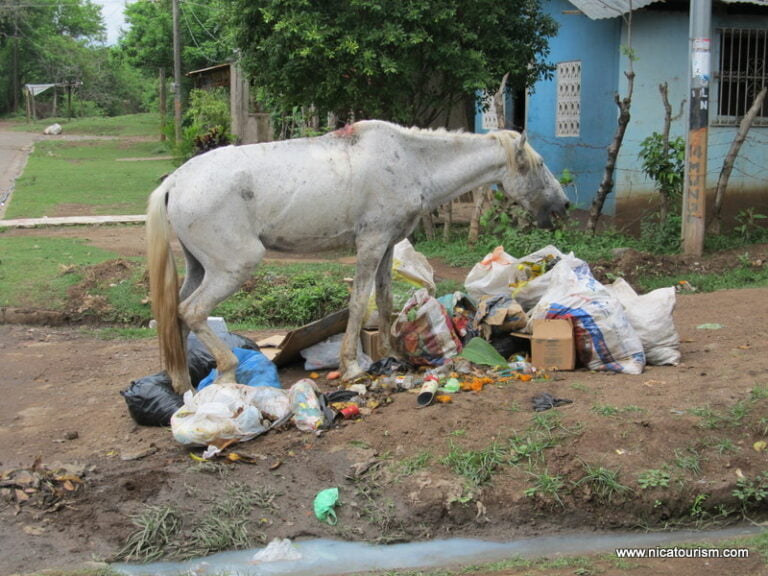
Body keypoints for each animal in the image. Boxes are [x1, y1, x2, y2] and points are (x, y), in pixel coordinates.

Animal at [147, 120, 569, 394]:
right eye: (540, 165)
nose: (563, 205)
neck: (411, 161)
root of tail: (175, 182)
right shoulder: (370, 243)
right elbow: (357, 302)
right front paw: (351, 366)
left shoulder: (387, 245)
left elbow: (383, 300)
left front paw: (395, 354)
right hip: (234, 267)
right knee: (192, 311)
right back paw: (226, 373)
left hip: (199, 268)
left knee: (176, 313)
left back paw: (181, 384)